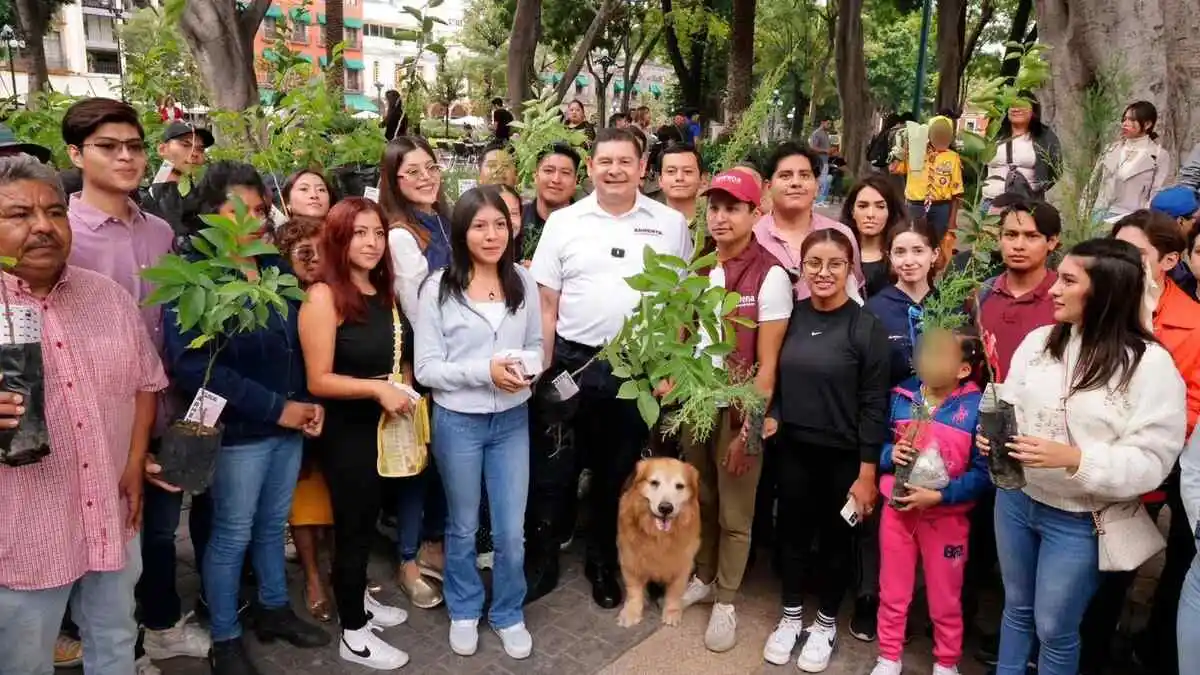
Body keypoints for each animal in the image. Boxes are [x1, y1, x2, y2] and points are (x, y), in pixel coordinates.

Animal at [614, 454, 700, 629]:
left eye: (679, 486)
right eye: (654, 483)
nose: (665, 508)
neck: (658, 536)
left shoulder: (683, 562)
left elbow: (675, 591)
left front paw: (672, 611)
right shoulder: (629, 557)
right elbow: (634, 590)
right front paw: (631, 612)